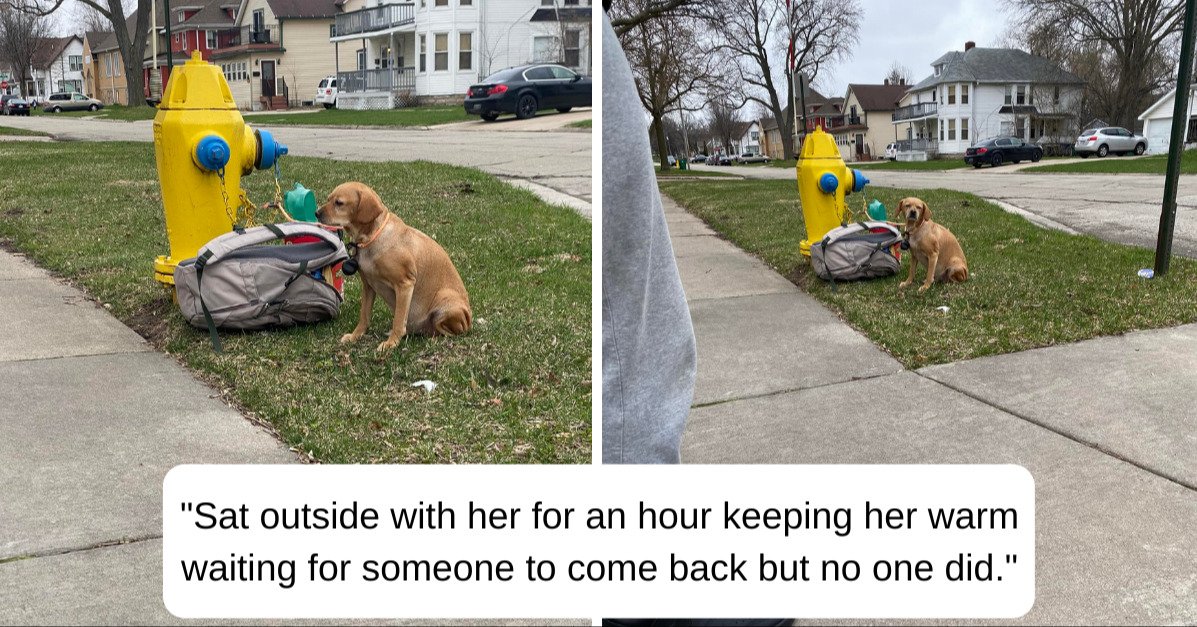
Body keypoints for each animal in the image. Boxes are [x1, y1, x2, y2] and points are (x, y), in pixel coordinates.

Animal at [318, 180, 471, 351]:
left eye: (339, 203)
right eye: (329, 199)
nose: (317, 213)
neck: (371, 237)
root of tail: (469, 319)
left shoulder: (405, 284)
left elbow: (398, 320)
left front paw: (391, 343)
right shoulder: (368, 286)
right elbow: (364, 316)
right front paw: (355, 336)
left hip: (445, 301)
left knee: (450, 331)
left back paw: (433, 339)